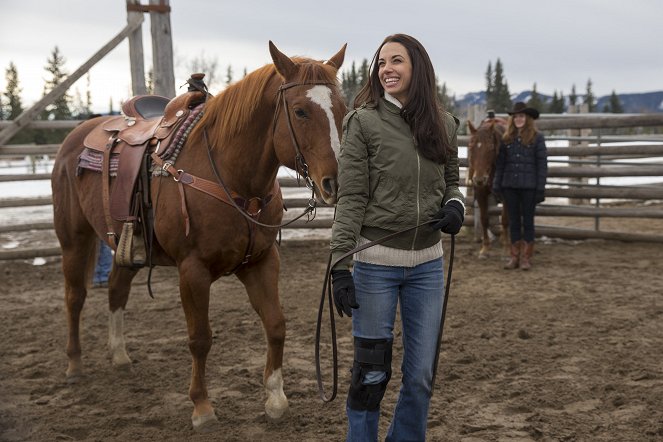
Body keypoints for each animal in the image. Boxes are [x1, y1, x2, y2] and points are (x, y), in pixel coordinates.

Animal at [52, 41, 348, 432]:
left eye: (342, 110)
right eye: (300, 111)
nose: (335, 183)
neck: (231, 176)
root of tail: (76, 136)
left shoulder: (262, 261)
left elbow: (276, 325)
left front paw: (276, 400)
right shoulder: (192, 271)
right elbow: (200, 338)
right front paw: (202, 407)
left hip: (127, 246)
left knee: (116, 289)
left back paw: (119, 356)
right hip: (74, 238)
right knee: (74, 297)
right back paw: (73, 364)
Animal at [464, 117, 510, 258]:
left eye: (490, 147)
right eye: (471, 146)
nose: (479, 179)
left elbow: (505, 219)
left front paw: (506, 248)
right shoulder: (480, 192)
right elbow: (484, 219)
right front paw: (485, 248)